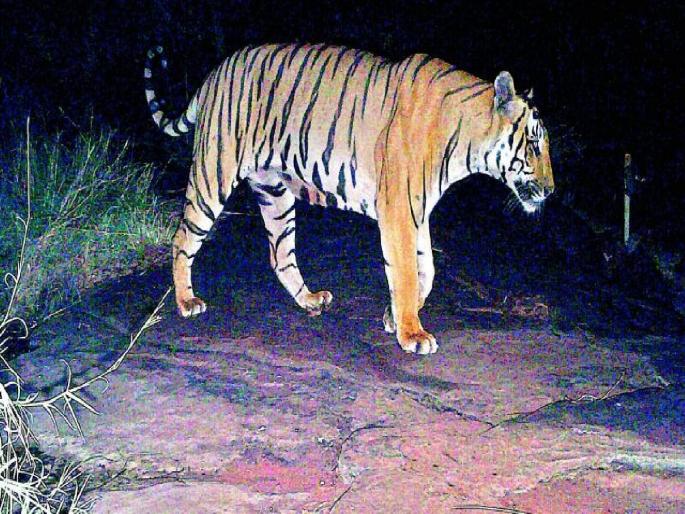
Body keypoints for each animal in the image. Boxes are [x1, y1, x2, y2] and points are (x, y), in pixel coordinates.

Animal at [144, 43, 554, 355]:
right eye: (534, 145)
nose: (551, 190)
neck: (467, 141)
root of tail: (216, 71)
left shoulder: (417, 212)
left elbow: (427, 270)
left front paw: (394, 317)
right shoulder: (399, 212)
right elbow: (406, 272)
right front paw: (412, 334)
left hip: (274, 193)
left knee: (280, 255)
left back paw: (309, 299)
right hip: (213, 173)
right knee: (183, 239)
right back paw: (186, 302)